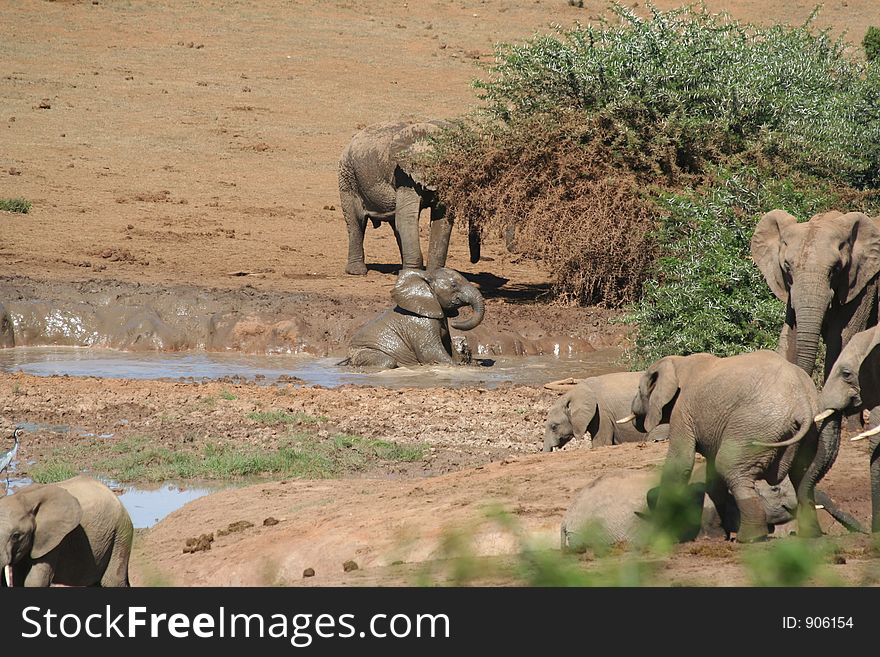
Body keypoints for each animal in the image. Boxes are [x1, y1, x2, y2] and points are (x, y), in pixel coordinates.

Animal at [0, 474, 134, 588]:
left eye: (16, 535)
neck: (22, 498)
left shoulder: (52, 539)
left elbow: (35, 580)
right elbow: (18, 579)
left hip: (120, 533)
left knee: (112, 581)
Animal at [338, 120, 482, 274]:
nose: (473, 261)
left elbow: (442, 221)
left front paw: (433, 275)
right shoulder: (404, 176)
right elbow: (407, 219)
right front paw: (414, 273)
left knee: (395, 224)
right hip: (347, 176)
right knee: (356, 221)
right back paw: (357, 271)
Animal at [340, 268, 484, 368]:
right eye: (454, 285)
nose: (455, 323)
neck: (427, 276)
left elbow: (448, 346)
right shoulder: (421, 324)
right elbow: (430, 352)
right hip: (362, 352)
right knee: (388, 362)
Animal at [624, 352, 836, 540]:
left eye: (639, 389)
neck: (677, 362)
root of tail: (803, 403)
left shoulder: (682, 411)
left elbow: (680, 463)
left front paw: (657, 534)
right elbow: (712, 478)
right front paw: (714, 537)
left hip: (755, 425)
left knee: (730, 467)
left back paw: (751, 537)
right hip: (813, 431)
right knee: (803, 474)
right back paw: (810, 534)